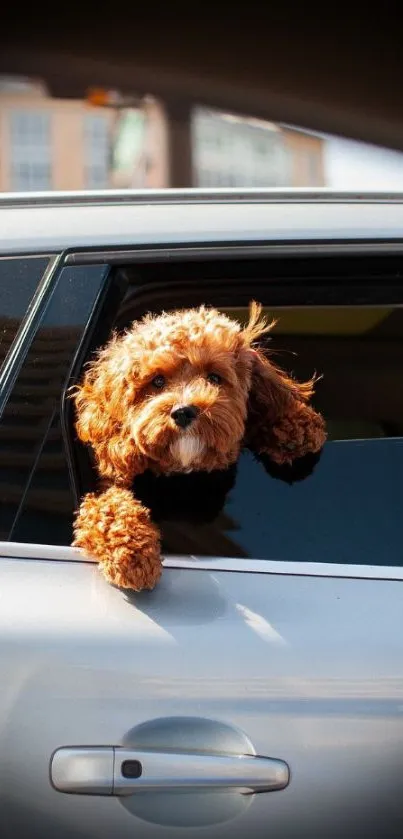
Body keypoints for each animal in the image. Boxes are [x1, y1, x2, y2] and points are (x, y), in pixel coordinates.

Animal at [71, 302, 326, 592]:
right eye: (157, 381)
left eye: (214, 377)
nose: (183, 412)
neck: (185, 471)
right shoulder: (106, 488)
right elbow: (108, 509)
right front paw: (133, 556)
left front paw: (297, 425)